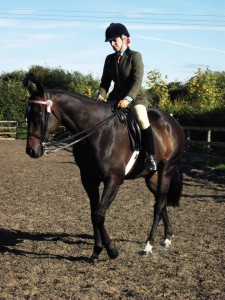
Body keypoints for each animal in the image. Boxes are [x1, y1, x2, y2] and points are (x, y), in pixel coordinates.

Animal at [25, 79, 185, 262]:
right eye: (27, 115)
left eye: (39, 115)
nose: (31, 151)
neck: (97, 133)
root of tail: (172, 121)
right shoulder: (89, 179)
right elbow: (93, 214)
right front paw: (96, 251)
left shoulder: (113, 180)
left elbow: (99, 215)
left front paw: (112, 251)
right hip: (151, 177)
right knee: (162, 201)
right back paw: (167, 238)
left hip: (166, 169)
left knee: (158, 205)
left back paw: (148, 246)